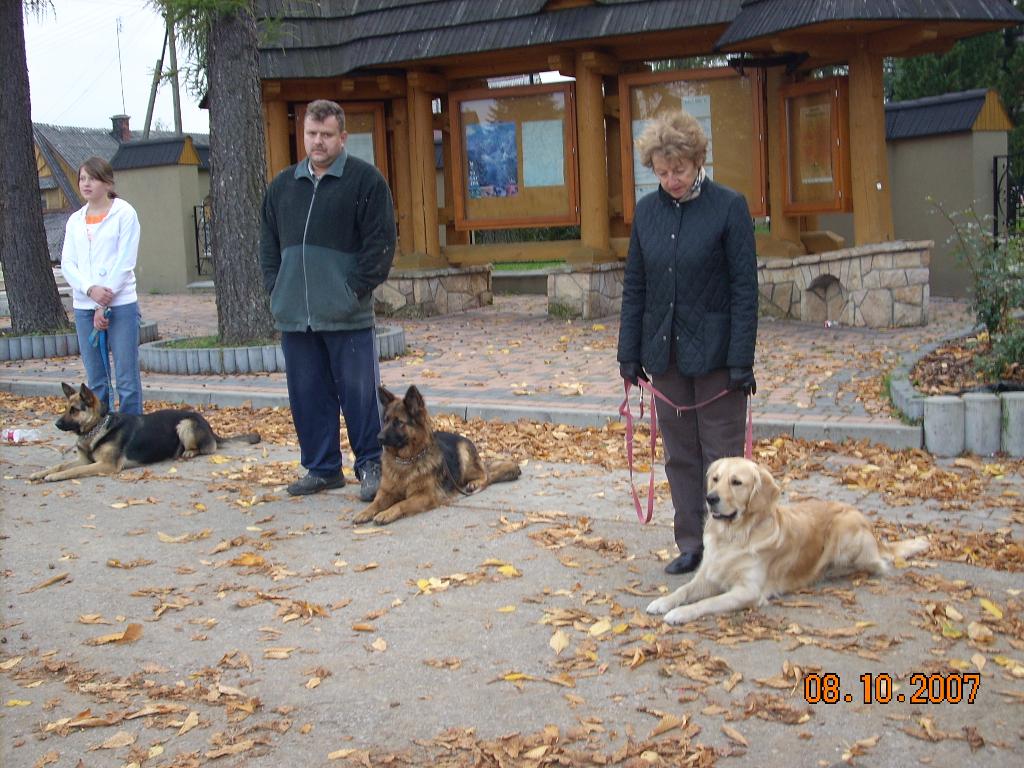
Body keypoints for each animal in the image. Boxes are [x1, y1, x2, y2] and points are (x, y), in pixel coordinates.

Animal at [647, 456, 929, 626]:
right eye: (715, 478)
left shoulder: (748, 591)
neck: (734, 536)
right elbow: (683, 590)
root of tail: (868, 524)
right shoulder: (708, 575)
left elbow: (707, 602)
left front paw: (680, 613)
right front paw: (663, 602)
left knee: (878, 565)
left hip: (847, 533)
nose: (711, 498)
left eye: (736, 482)